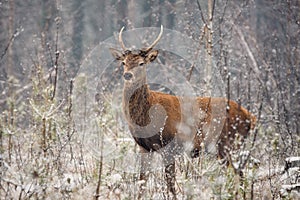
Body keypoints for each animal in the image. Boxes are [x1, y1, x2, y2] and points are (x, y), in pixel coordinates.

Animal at [109, 25, 256, 198]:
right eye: (123, 62)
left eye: (141, 63)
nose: (127, 74)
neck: (145, 116)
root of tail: (250, 116)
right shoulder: (144, 148)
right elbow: (142, 182)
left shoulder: (169, 146)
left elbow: (170, 184)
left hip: (227, 143)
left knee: (237, 174)